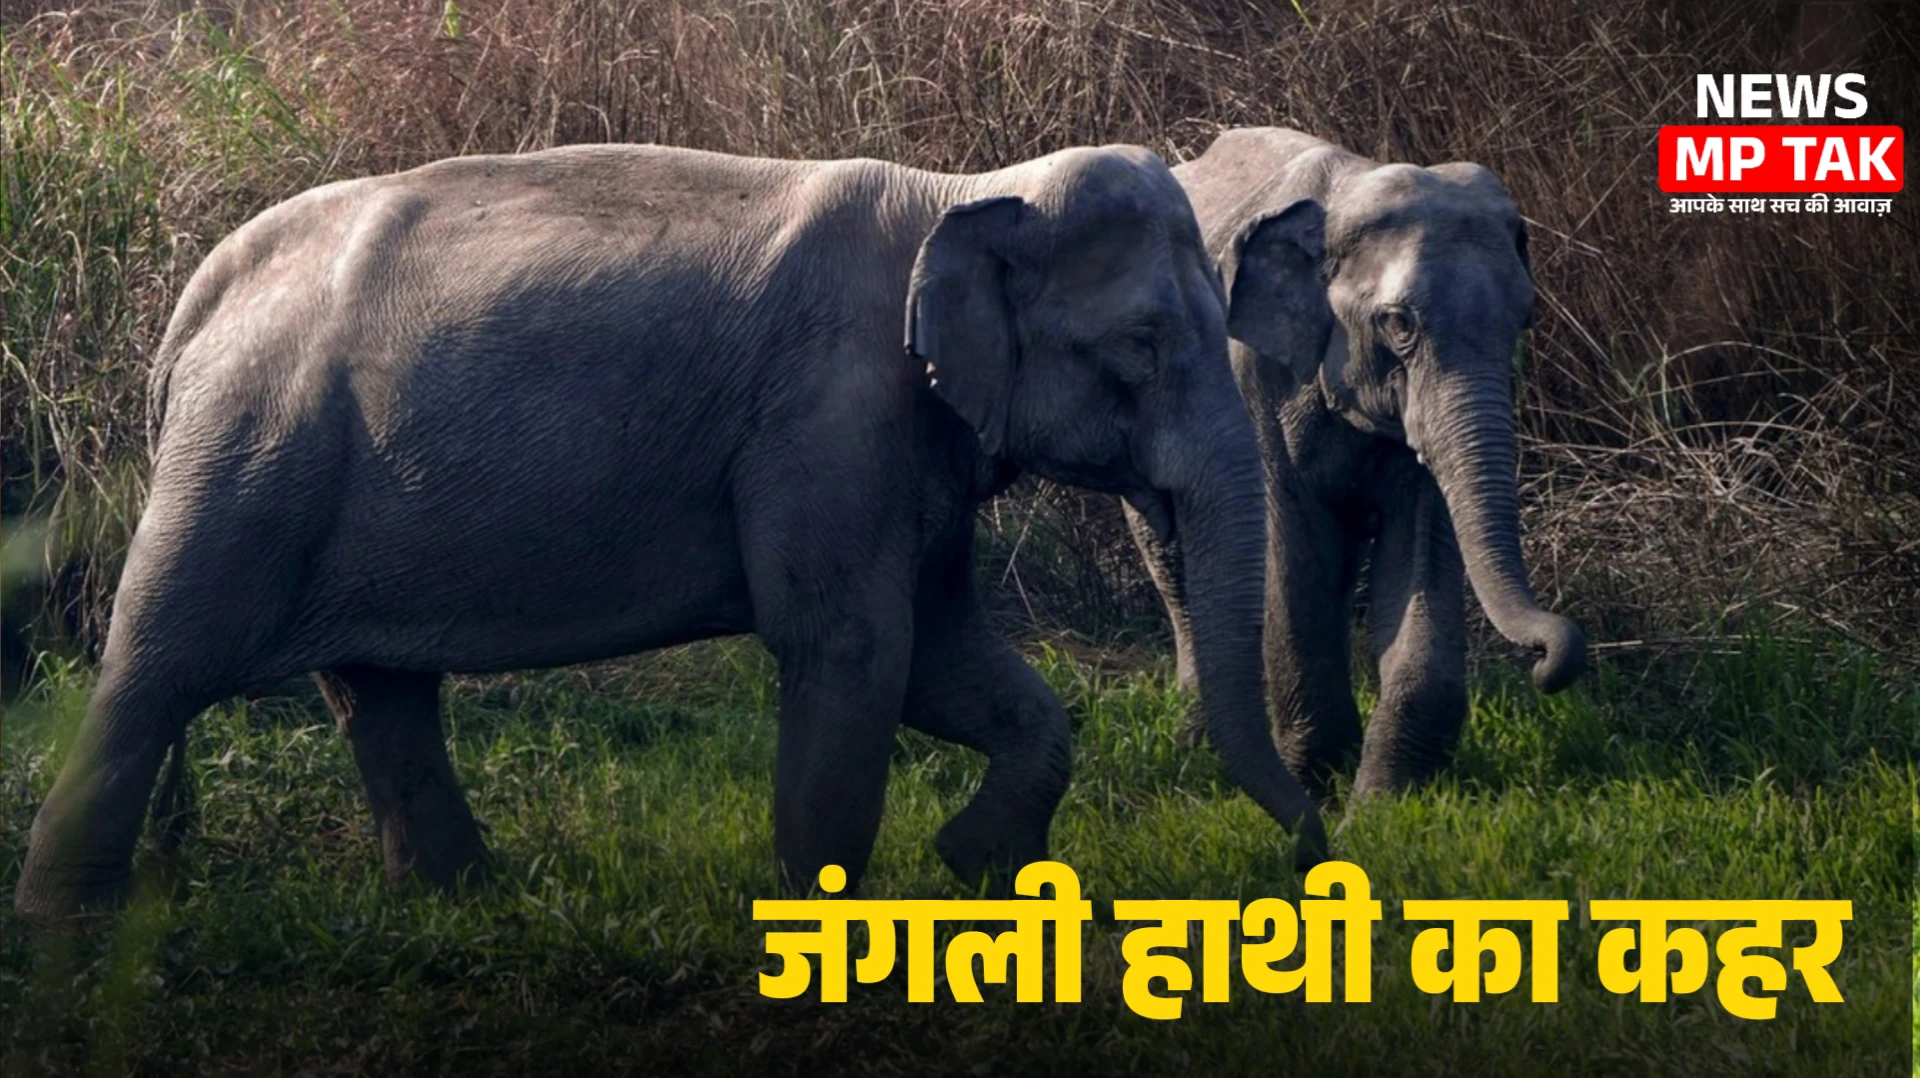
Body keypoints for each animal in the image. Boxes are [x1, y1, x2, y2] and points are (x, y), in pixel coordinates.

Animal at [15, 142, 1329, 920]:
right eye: (1142, 348)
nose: (1320, 863)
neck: (961, 192)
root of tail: (196, 299)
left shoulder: (907, 442)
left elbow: (952, 659)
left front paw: (976, 871)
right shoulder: (833, 413)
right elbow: (853, 648)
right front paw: (828, 934)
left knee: (377, 690)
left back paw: (461, 902)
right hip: (249, 454)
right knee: (157, 666)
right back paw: (67, 932)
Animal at [1125, 127, 1586, 799]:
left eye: (1523, 317)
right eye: (1398, 324)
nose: (1547, 669)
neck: (1345, 196)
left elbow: (1420, 550)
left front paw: (1384, 800)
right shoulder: (1252, 373)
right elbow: (1292, 549)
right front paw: (1315, 780)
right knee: (1173, 559)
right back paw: (1195, 740)